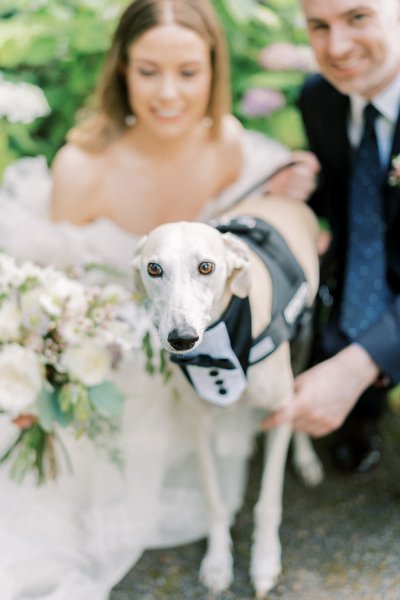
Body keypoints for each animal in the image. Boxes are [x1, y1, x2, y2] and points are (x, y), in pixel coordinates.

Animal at [133, 196, 324, 596]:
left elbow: (268, 503)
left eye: (206, 266)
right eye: (154, 268)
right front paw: (218, 562)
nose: (181, 338)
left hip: (304, 339)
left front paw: (265, 562)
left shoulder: (281, 407)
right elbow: (215, 501)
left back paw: (305, 458)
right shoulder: (198, 423)